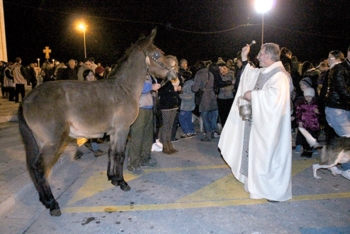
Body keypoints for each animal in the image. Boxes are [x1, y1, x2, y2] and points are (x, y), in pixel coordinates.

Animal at [17, 27, 176, 216]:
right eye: (157, 54)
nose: (174, 74)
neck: (124, 89)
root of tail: (27, 99)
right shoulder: (123, 129)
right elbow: (120, 155)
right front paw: (123, 182)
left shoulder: (114, 132)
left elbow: (112, 153)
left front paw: (113, 178)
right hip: (51, 143)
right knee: (40, 168)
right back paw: (52, 204)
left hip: (38, 142)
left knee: (34, 168)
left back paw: (45, 200)